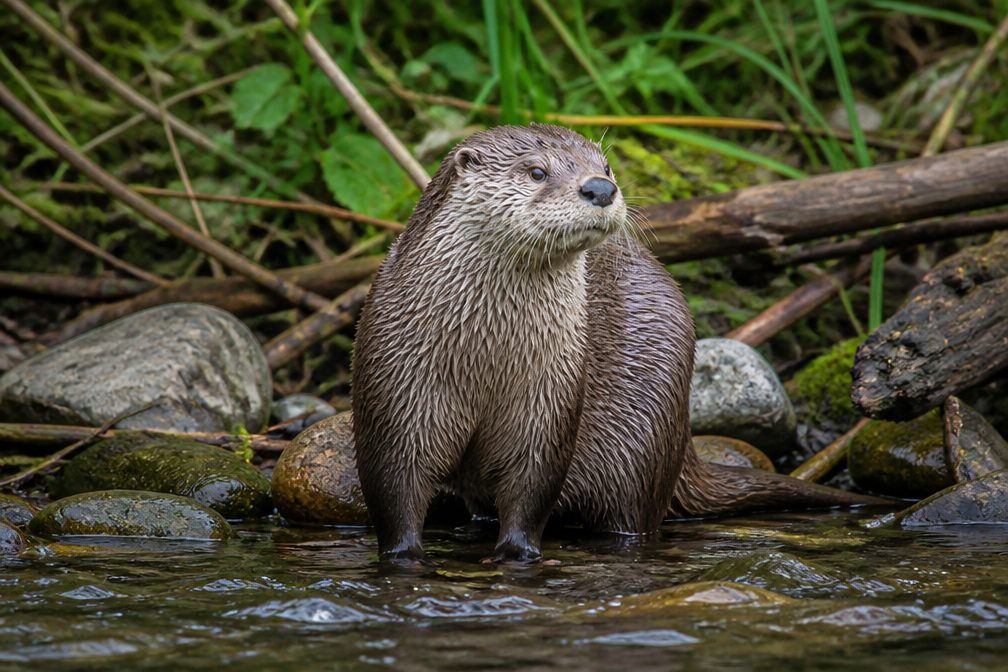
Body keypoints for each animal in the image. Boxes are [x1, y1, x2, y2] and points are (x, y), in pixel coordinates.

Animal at [352, 124, 883, 562]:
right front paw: (404, 556)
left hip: (640, 439)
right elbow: (394, 488)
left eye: (605, 166)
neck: (486, 357)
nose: (601, 188)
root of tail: (683, 442)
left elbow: (532, 485)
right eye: (536, 171)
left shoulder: (552, 397)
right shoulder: (396, 384)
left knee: (632, 516)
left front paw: (517, 553)